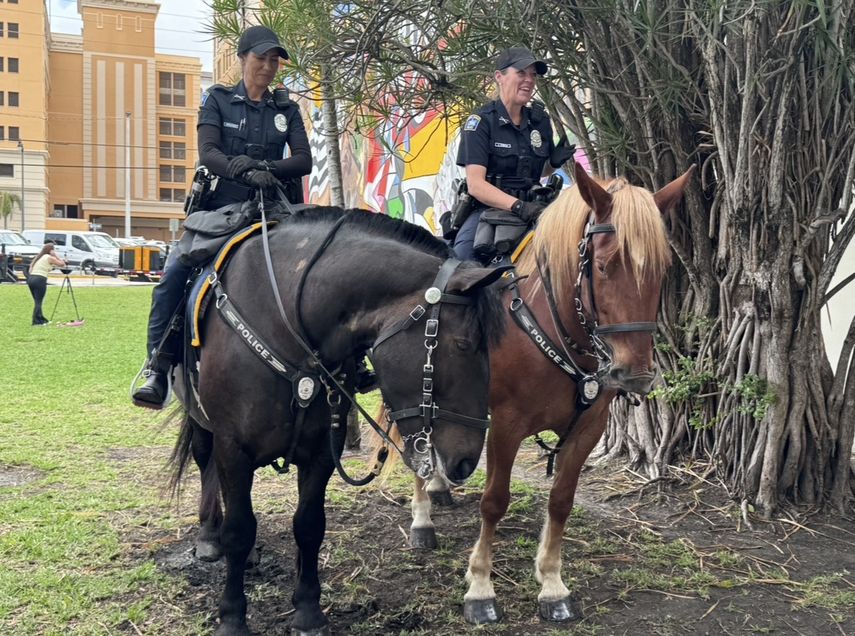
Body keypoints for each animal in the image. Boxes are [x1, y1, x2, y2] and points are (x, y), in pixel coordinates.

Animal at [167, 207, 507, 636]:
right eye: (463, 345)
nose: (465, 461)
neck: (284, 321)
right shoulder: (234, 447)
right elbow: (240, 530)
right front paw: (232, 616)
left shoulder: (320, 451)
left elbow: (309, 526)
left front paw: (308, 609)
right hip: (202, 426)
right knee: (205, 464)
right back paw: (209, 535)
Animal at [386, 162, 694, 623]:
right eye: (603, 266)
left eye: (662, 268)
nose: (634, 374)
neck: (552, 320)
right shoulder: (506, 425)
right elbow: (495, 501)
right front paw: (480, 587)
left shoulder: (588, 427)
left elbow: (561, 501)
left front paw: (551, 583)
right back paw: (422, 517)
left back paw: (438, 486)